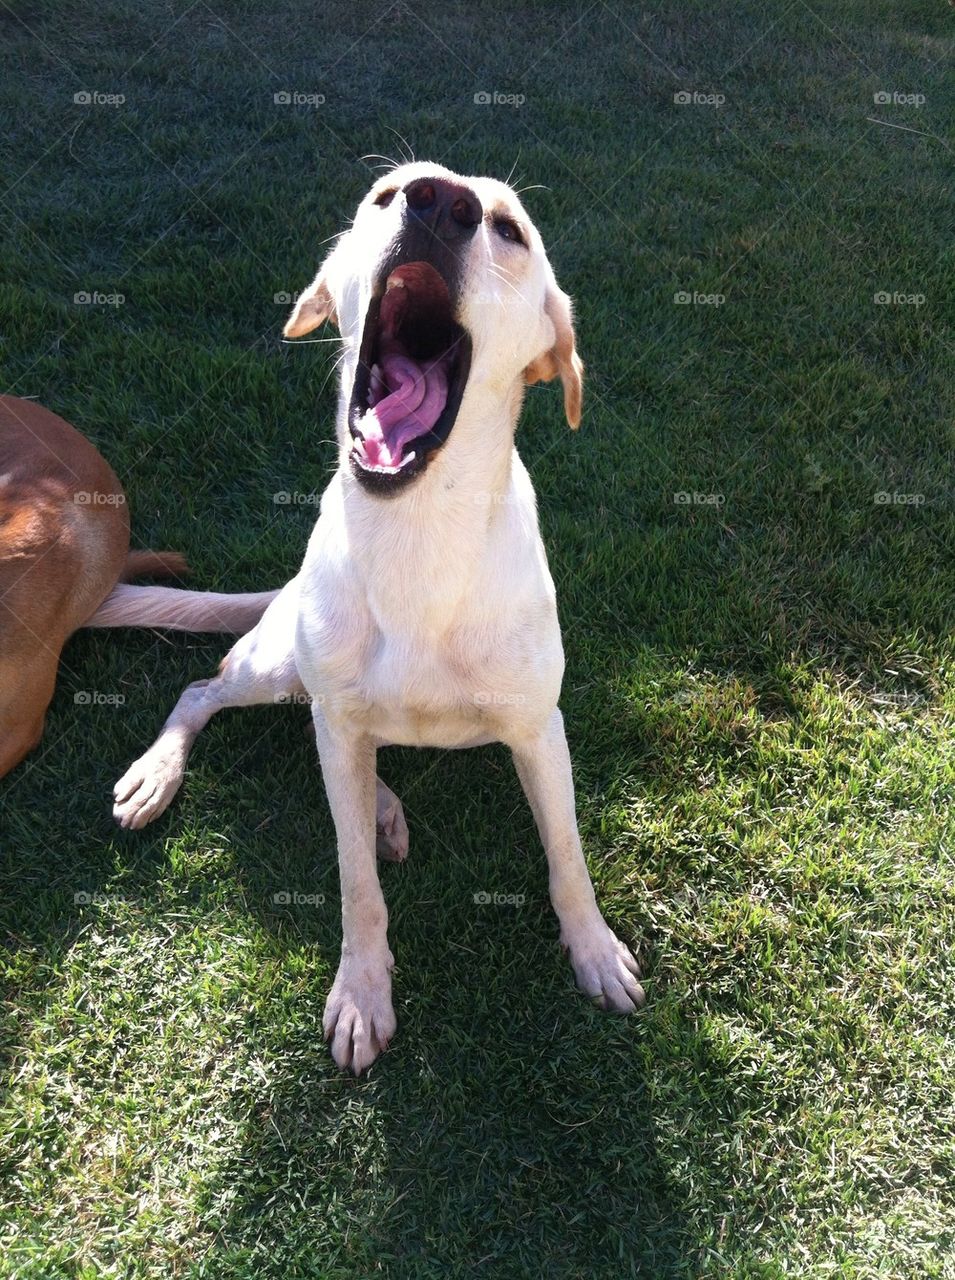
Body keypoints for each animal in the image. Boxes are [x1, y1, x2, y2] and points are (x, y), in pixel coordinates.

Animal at [115, 165, 642, 1075]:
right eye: (386, 194)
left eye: (509, 229)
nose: (438, 200)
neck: (416, 532)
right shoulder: (339, 720)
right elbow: (354, 878)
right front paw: (362, 991)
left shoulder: (539, 728)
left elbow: (568, 856)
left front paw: (593, 950)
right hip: (278, 667)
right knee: (208, 693)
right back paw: (162, 772)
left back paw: (386, 803)